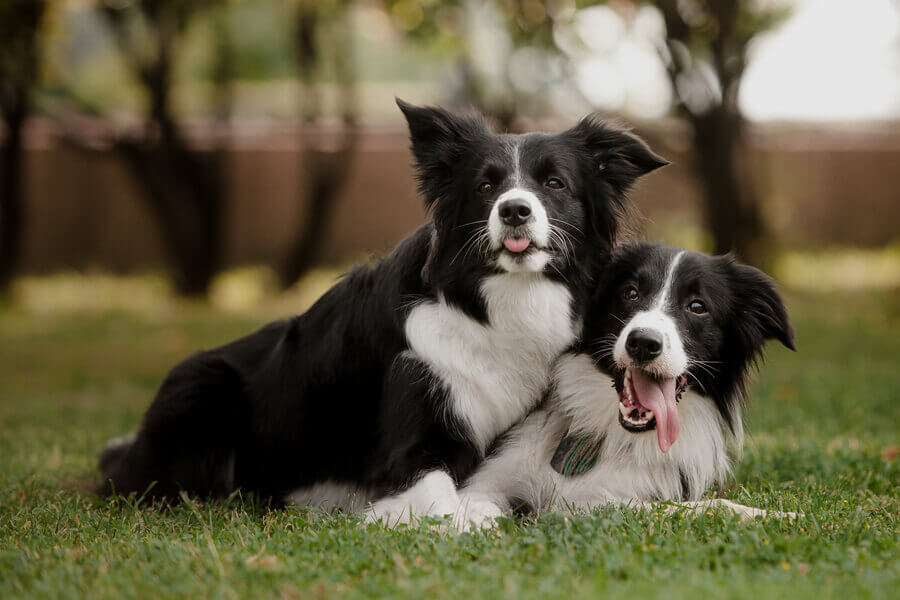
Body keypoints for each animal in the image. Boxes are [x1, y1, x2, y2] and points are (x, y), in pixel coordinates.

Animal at [96, 101, 668, 512]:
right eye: (486, 186)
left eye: (555, 183)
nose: (514, 211)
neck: (496, 301)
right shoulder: (413, 444)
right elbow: (440, 497)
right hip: (200, 383)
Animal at [370, 241, 800, 528]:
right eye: (630, 292)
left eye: (698, 306)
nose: (643, 342)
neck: (612, 431)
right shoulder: (486, 478)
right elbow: (475, 502)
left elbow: (691, 506)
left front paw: (776, 514)